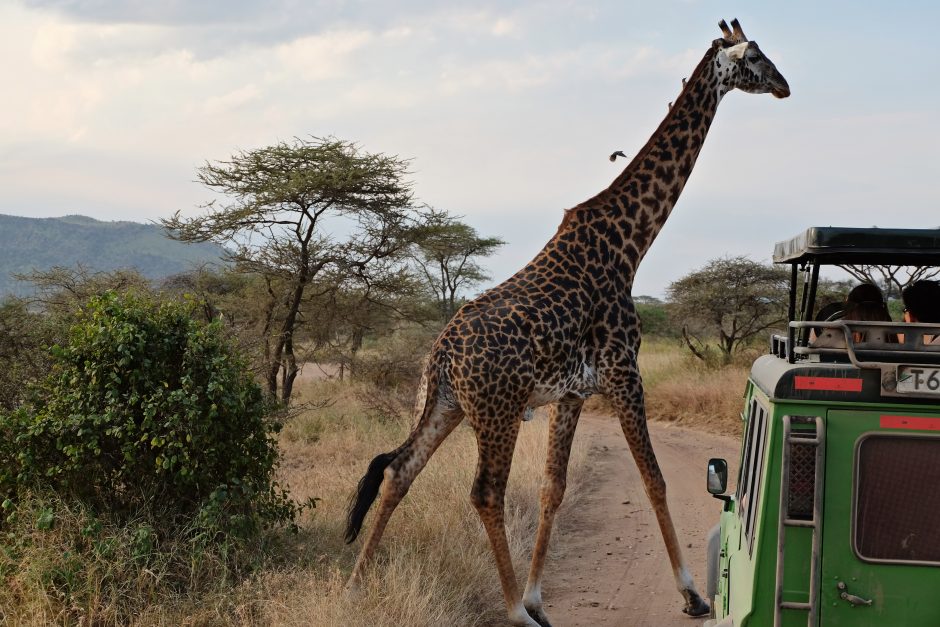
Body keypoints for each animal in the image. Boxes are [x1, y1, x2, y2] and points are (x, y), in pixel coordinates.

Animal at [344, 19, 784, 627]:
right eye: (757, 57)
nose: (785, 86)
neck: (631, 243)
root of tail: (443, 355)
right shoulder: (624, 371)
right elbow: (654, 479)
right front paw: (691, 593)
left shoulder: (573, 393)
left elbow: (554, 487)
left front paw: (538, 597)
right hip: (498, 412)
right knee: (484, 492)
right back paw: (511, 612)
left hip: (443, 406)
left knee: (398, 472)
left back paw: (355, 587)